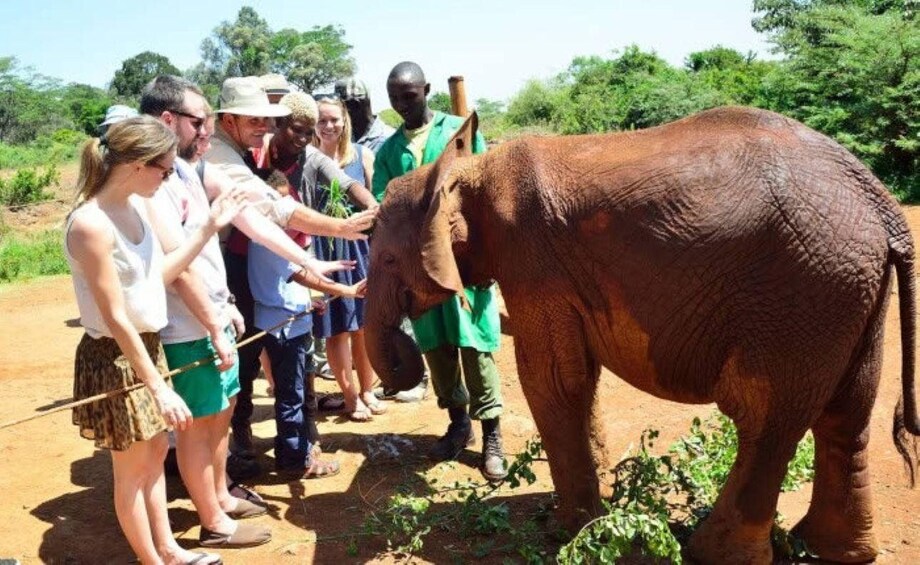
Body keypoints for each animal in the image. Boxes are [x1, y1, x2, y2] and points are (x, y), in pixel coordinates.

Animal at [363, 106, 920, 564]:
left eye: (387, 260)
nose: (398, 375)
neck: (469, 169)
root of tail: (884, 206)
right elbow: (577, 379)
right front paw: (597, 509)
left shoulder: (533, 260)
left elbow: (552, 382)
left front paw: (565, 532)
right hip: (850, 289)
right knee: (845, 415)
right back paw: (828, 548)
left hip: (803, 291)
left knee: (764, 417)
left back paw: (710, 553)